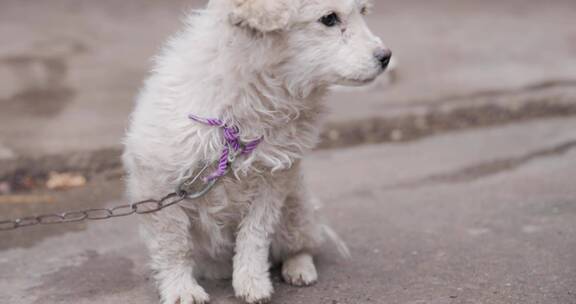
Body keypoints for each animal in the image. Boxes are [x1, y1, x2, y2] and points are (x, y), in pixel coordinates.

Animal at [121, 1, 392, 302]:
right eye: (329, 19)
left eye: (362, 11)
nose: (386, 56)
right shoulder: (157, 183)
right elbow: (174, 244)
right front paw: (181, 288)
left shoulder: (273, 180)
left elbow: (255, 235)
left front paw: (251, 282)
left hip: (295, 207)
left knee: (302, 244)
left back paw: (299, 267)